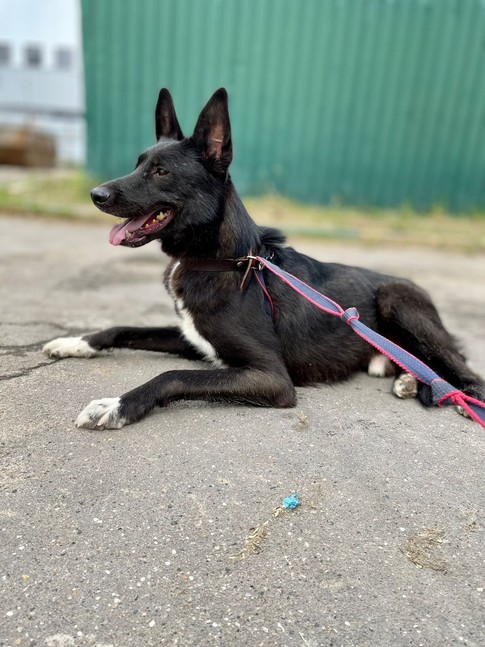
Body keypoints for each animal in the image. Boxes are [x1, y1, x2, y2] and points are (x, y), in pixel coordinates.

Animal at [43, 88, 485, 430]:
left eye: (161, 171)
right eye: (137, 164)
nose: (95, 195)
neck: (226, 261)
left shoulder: (270, 377)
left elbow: (171, 375)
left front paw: (117, 404)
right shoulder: (193, 338)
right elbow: (122, 327)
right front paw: (76, 342)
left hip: (398, 300)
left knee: (465, 372)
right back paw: (409, 381)